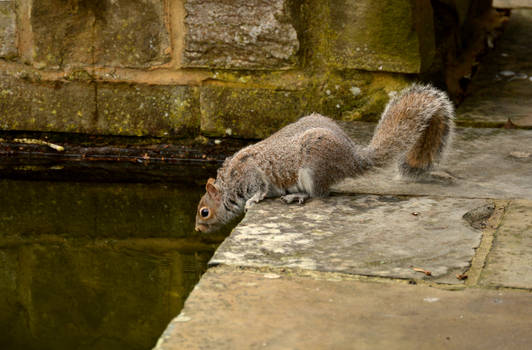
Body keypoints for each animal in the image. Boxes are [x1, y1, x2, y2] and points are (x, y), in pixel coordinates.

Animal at [194, 84, 454, 232]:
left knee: (319, 194)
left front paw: (253, 201)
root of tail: (353, 159)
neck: (230, 184)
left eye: (204, 212)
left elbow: (260, 188)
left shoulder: (251, 174)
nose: (197, 229)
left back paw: (297, 195)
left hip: (314, 166)